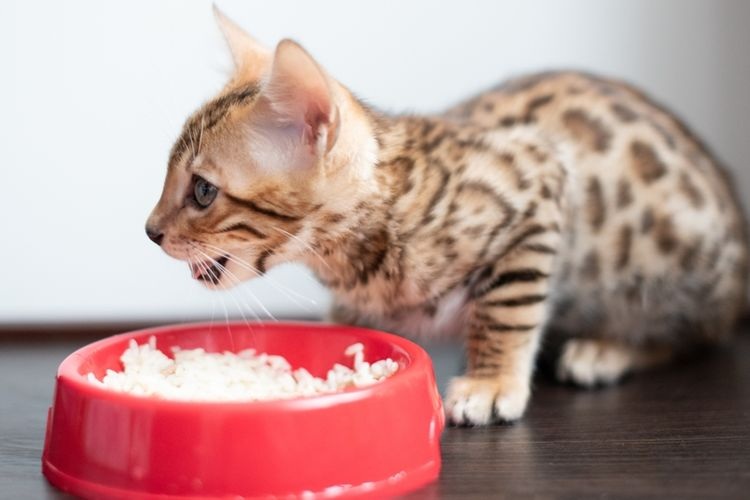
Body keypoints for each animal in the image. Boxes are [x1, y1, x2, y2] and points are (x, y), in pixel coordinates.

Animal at [144, 7, 748, 424]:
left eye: (202, 191)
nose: (150, 232)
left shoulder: (537, 185)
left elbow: (507, 309)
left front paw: (491, 380)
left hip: (670, 263)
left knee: (697, 333)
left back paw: (607, 348)